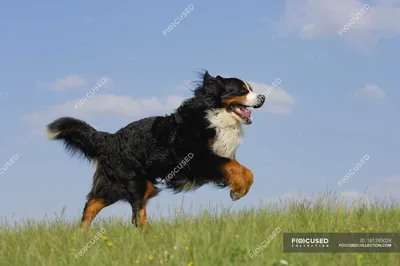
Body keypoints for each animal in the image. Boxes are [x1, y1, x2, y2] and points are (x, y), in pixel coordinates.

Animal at [46, 71, 266, 231]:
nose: (263, 97)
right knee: (137, 214)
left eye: (251, 89)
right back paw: (150, 233)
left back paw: (81, 234)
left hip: (117, 184)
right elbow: (233, 166)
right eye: (242, 90)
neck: (215, 116)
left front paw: (239, 189)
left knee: (92, 205)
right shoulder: (198, 159)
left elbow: (245, 170)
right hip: (134, 180)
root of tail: (109, 138)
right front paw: (238, 189)